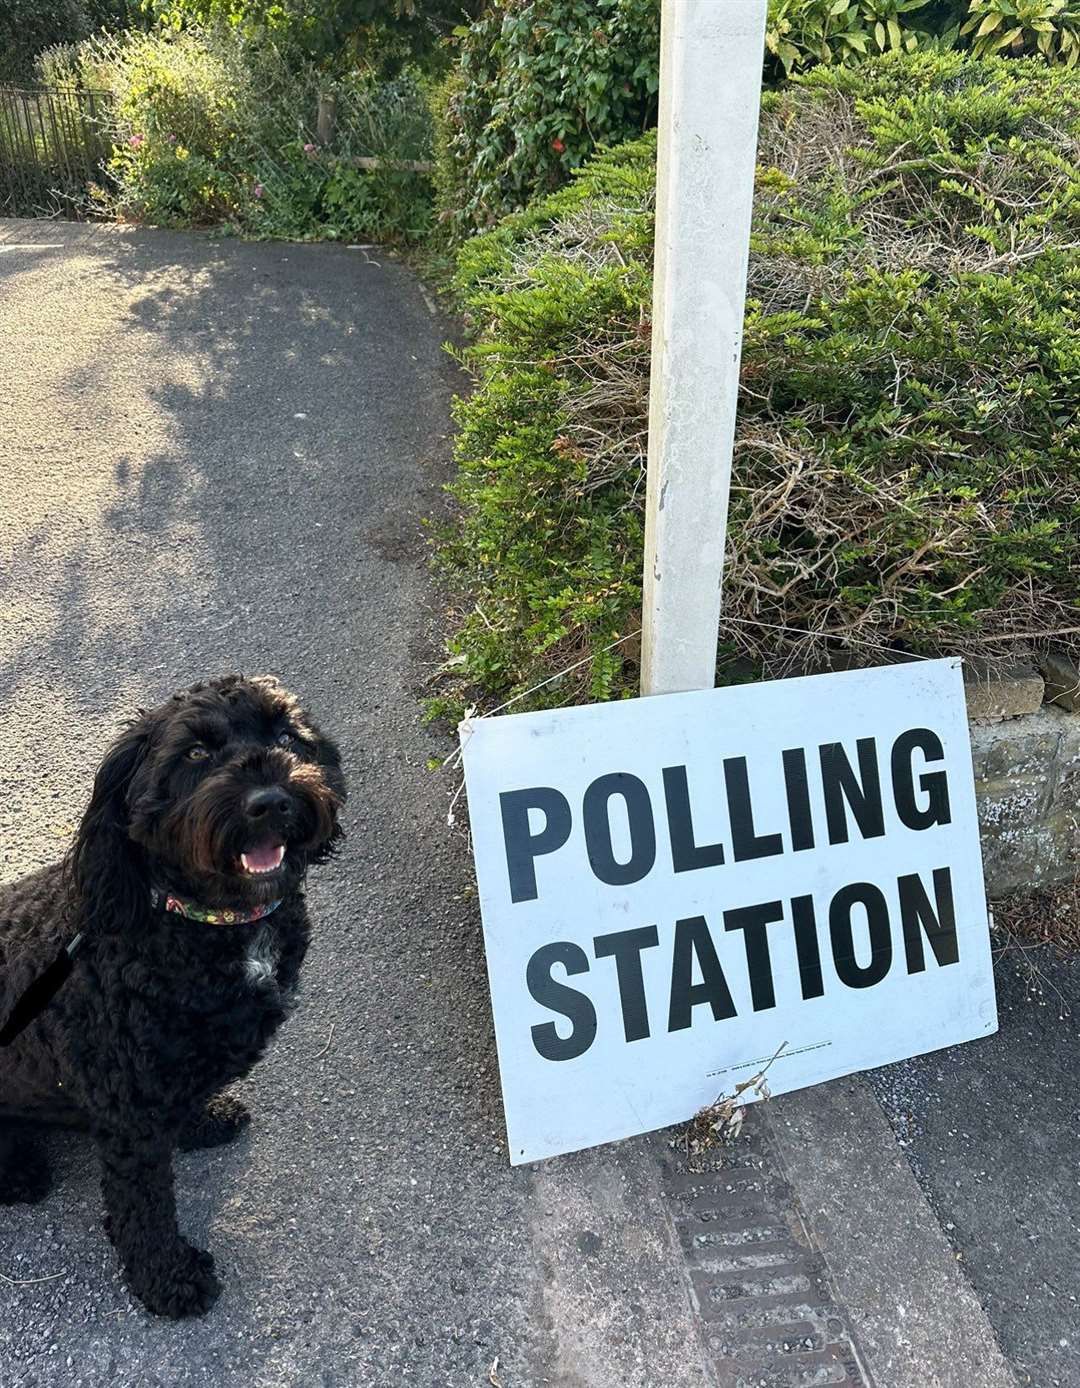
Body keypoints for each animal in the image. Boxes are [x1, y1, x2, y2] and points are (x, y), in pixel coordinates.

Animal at [0, 677, 342, 1315]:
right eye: (196, 753)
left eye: (287, 736)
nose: (271, 801)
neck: (200, 920)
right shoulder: (129, 1112)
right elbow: (144, 1208)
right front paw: (169, 1278)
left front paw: (202, 1122)